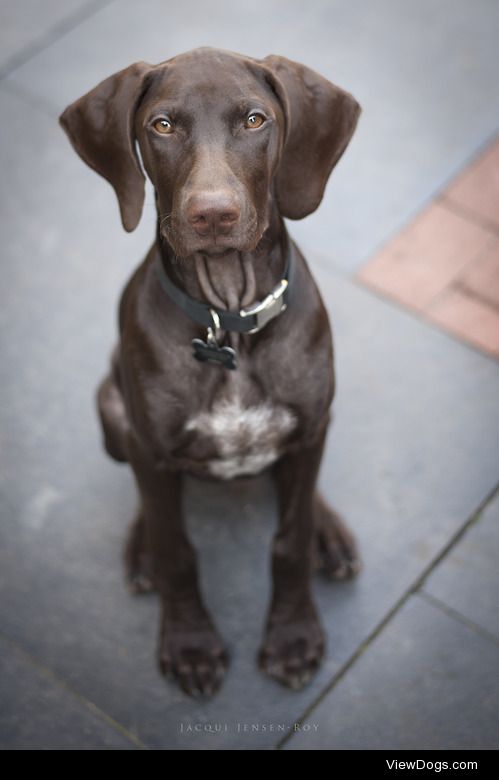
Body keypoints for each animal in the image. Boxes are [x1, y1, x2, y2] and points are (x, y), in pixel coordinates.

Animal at [60, 47, 362, 696]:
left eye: (254, 120)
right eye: (162, 126)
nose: (214, 214)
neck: (229, 320)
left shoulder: (309, 428)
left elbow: (290, 538)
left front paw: (293, 636)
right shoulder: (151, 448)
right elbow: (176, 548)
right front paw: (190, 644)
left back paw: (328, 532)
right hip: (113, 414)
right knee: (149, 503)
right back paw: (140, 551)